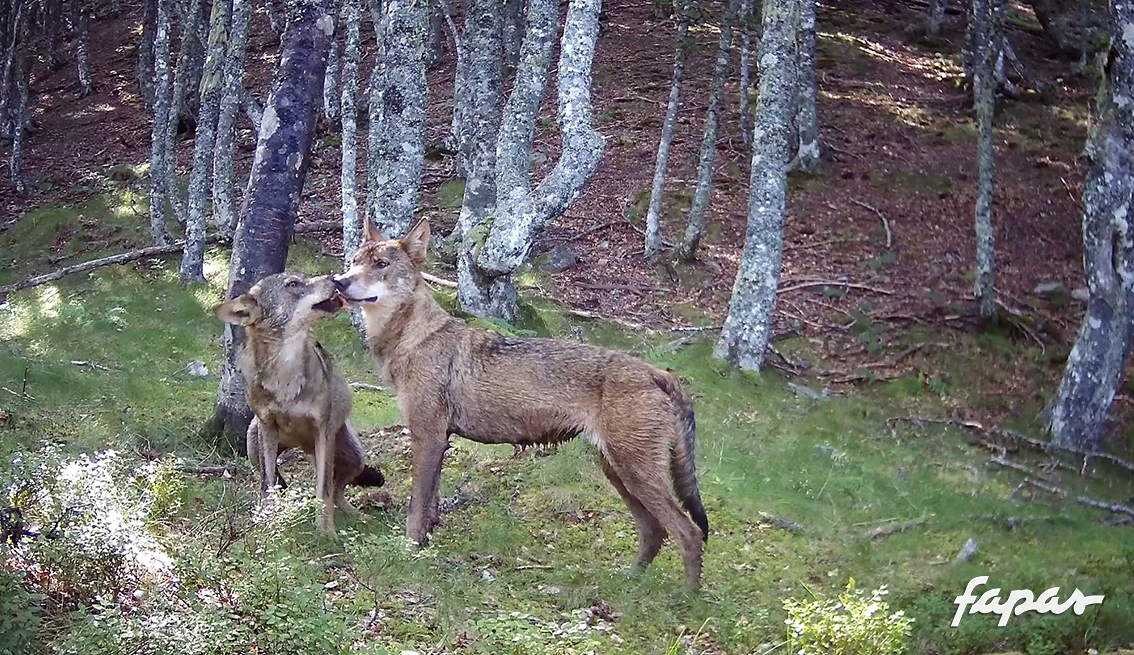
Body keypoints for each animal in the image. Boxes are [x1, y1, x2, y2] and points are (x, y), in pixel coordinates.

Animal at [213, 269, 385, 530]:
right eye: (293, 284)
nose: (336, 278)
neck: (285, 373)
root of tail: (302, 446)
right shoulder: (267, 427)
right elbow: (268, 484)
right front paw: (269, 522)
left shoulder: (322, 432)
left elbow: (323, 491)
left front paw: (325, 531)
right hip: (253, 442)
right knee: (268, 478)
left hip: (353, 455)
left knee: (337, 492)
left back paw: (357, 516)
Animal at [331, 217, 707, 584]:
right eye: (354, 262)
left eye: (380, 264)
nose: (338, 282)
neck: (414, 339)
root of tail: (658, 372)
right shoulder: (439, 441)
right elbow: (430, 505)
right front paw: (427, 542)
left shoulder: (429, 438)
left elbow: (416, 507)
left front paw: (409, 550)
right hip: (618, 472)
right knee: (655, 530)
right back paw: (630, 583)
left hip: (634, 473)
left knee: (689, 533)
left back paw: (686, 600)